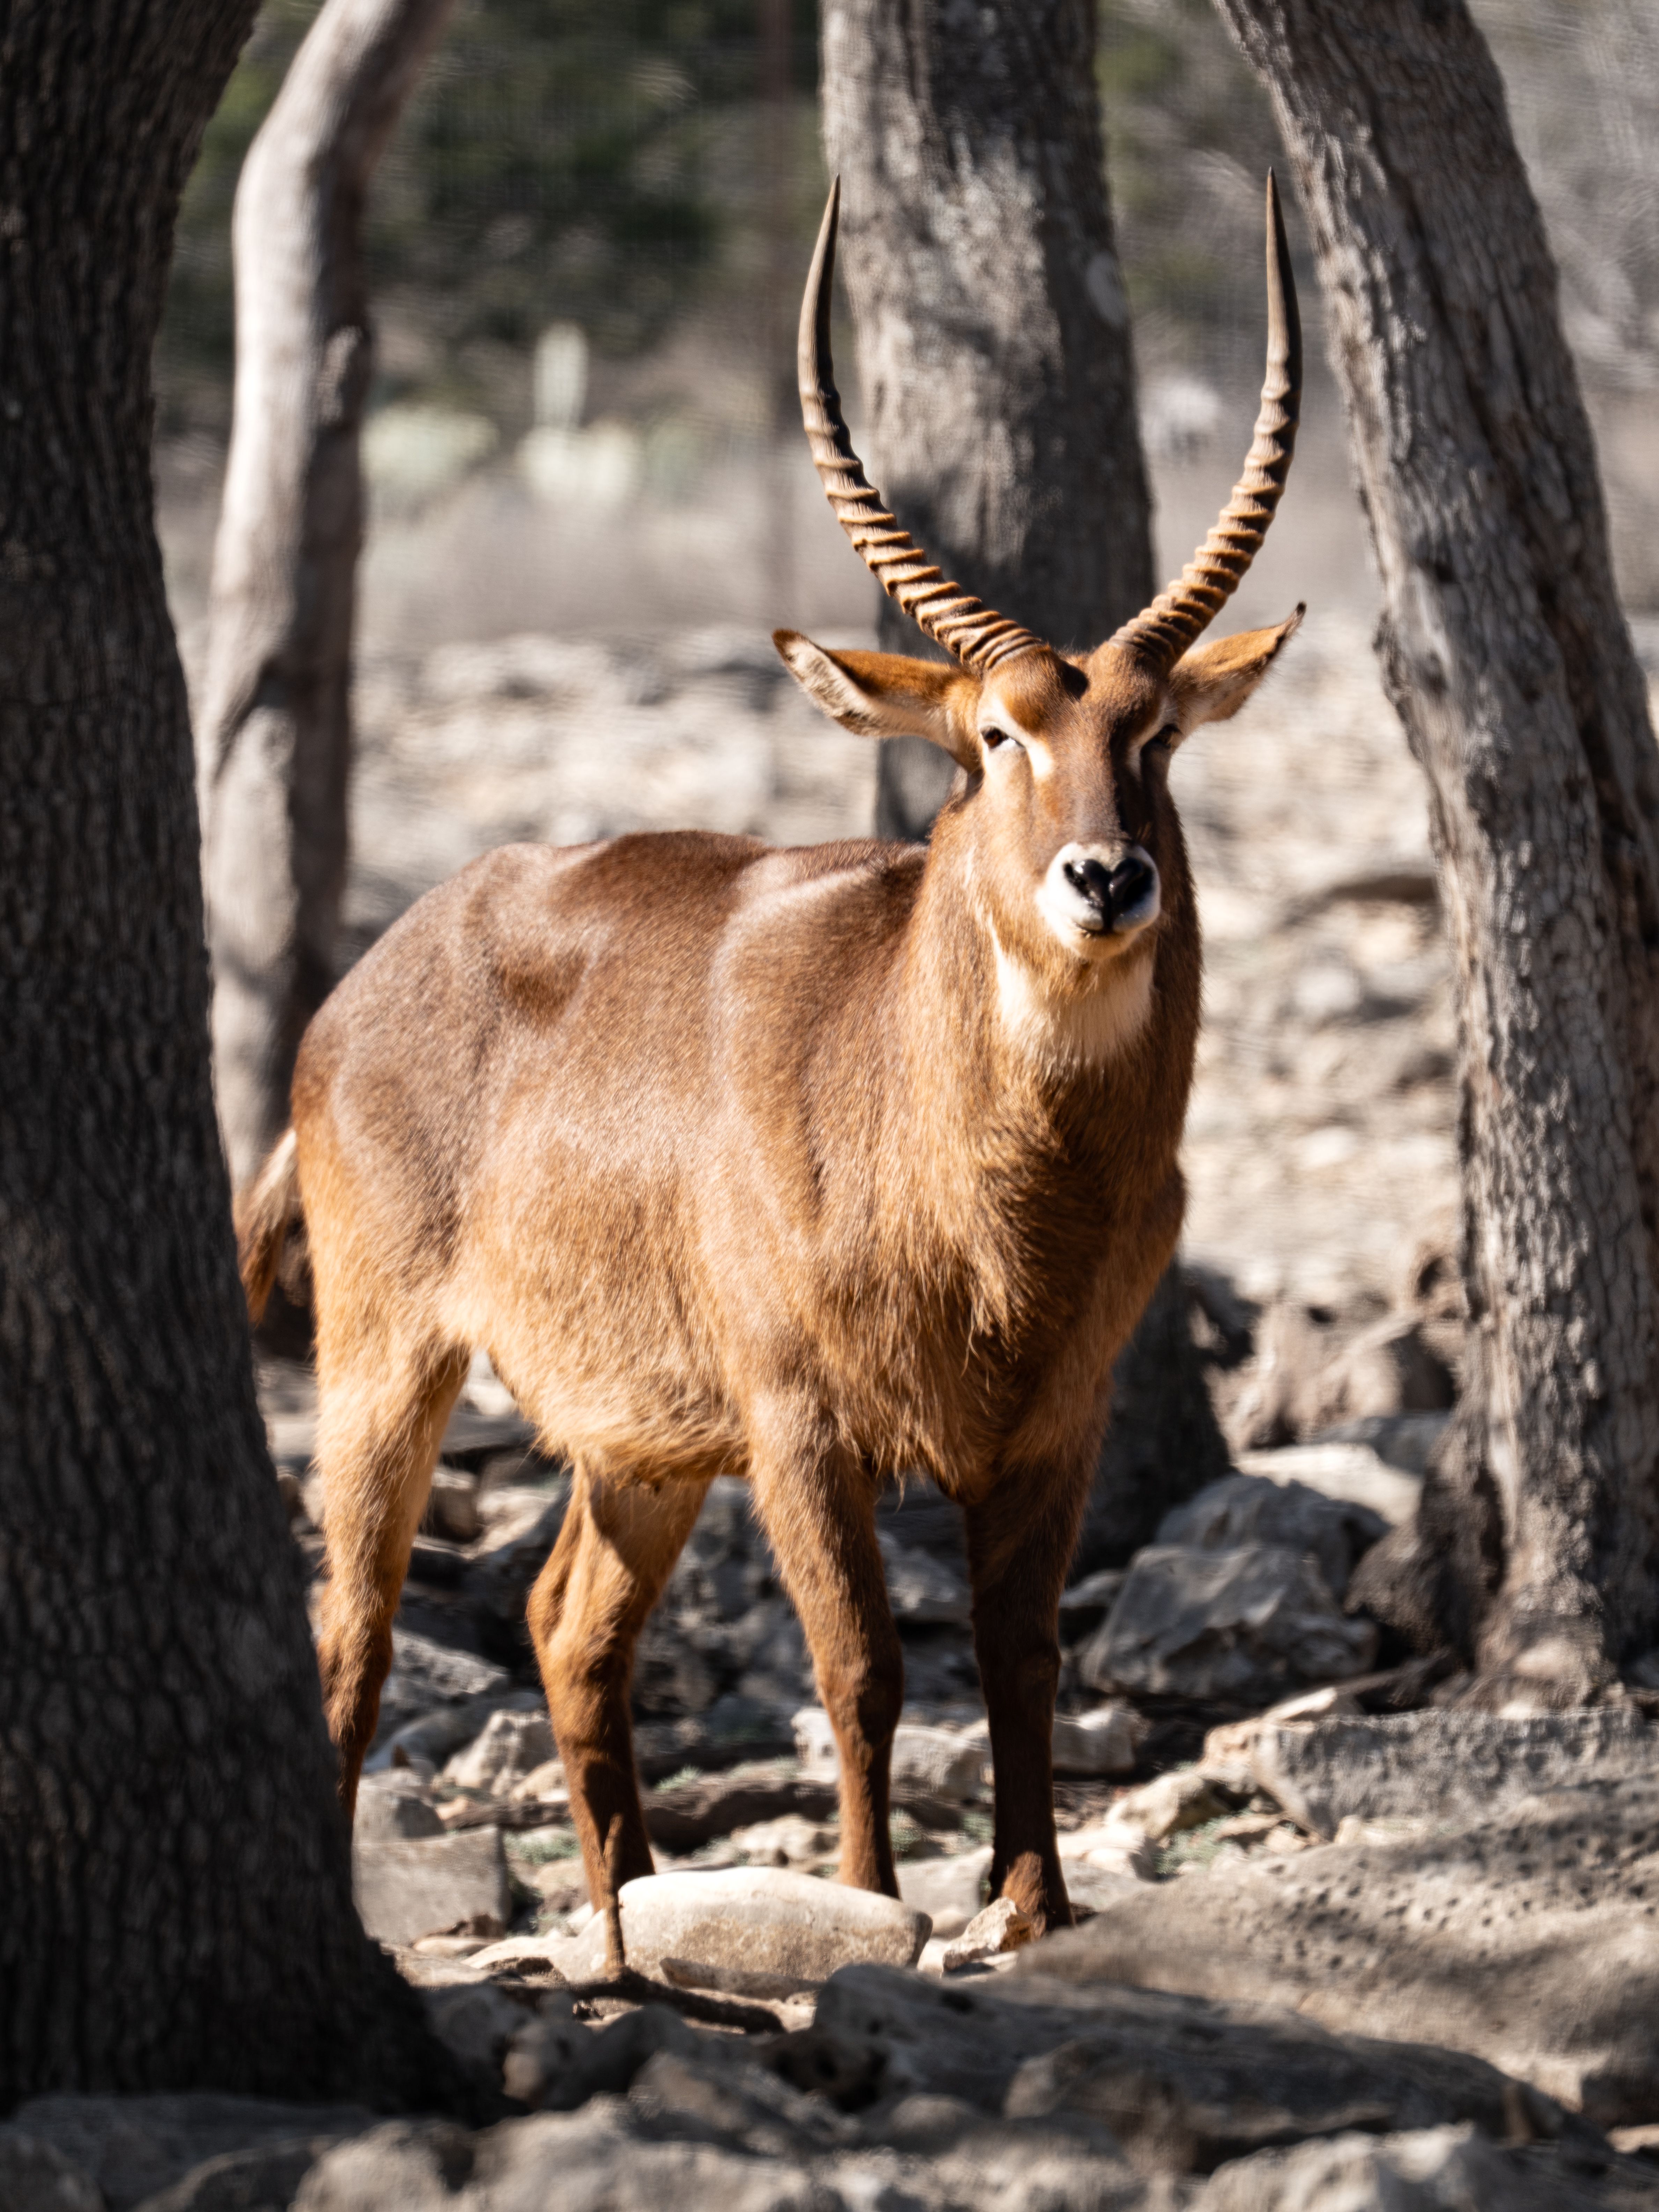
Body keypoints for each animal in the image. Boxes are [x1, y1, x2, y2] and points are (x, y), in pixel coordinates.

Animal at [238, 175, 1303, 1935]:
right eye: (994, 734)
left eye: (1148, 734)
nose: (1106, 878)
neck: (991, 1197)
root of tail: (366, 979)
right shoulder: (803, 1423)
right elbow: (862, 1667)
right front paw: (872, 1905)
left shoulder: (1055, 1424)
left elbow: (1022, 1658)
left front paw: (1034, 1903)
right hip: (385, 1360)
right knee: (352, 1632)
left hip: (638, 1443)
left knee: (567, 1627)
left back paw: (627, 1925)